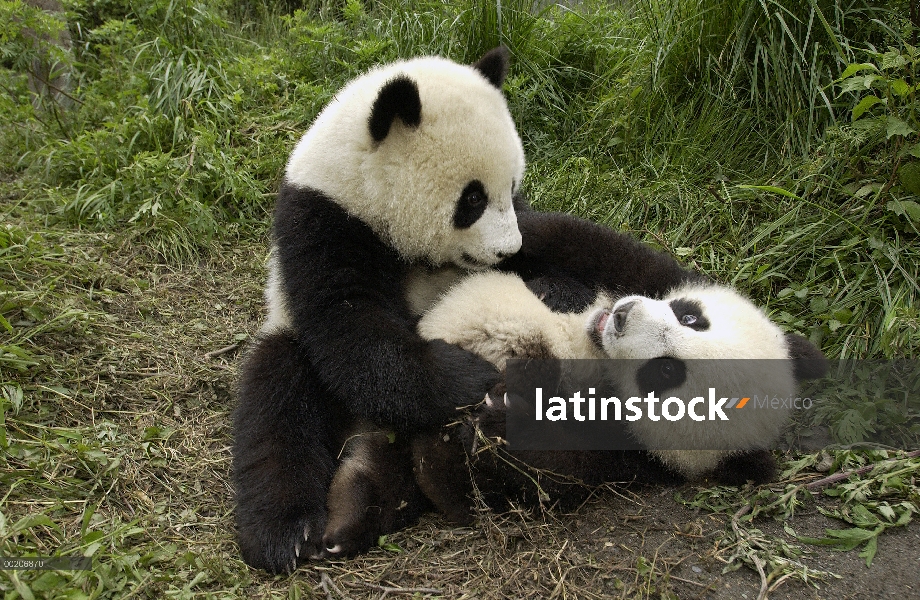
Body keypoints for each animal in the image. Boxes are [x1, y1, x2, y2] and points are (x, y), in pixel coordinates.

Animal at [234, 47, 528, 572]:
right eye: (472, 198)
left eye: (511, 188)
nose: (507, 250)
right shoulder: (323, 223)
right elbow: (349, 327)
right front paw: (466, 374)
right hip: (286, 343)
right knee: (277, 409)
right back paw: (287, 533)